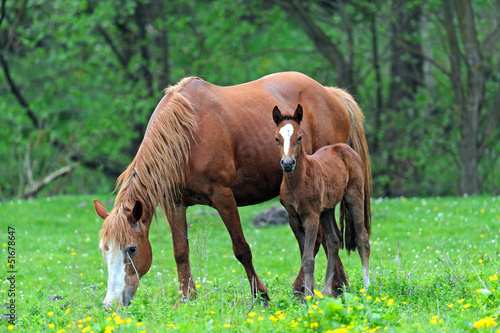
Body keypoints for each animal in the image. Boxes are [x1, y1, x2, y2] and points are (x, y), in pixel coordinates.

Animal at [274, 104, 372, 296]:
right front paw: (311, 292)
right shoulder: (293, 217)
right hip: (326, 210)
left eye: (299, 137)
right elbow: (305, 254)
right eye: (277, 139)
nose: (288, 164)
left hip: (354, 196)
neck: (297, 183)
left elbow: (308, 258)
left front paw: (308, 296)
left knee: (362, 237)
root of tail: (345, 147)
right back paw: (326, 291)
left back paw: (367, 287)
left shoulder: (311, 216)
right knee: (334, 241)